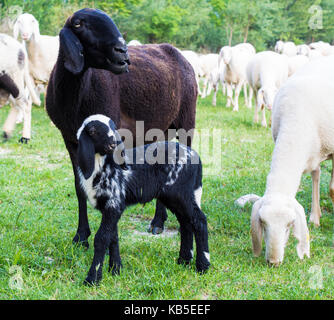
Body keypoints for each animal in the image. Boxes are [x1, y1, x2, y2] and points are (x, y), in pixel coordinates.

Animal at [77, 115, 210, 284]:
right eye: (93, 130)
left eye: (113, 127)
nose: (114, 143)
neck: (101, 166)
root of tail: (196, 157)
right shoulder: (111, 206)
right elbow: (113, 237)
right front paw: (116, 270)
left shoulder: (114, 203)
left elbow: (101, 238)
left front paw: (92, 278)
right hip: (173, 196)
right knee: (186, 223)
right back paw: (184, 261)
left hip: (182, 192)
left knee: (199, 221)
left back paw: (203, 266)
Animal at [249, 55, 334, 264]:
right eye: (263, 224)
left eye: (290, 225)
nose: (273, 262)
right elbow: (316, 176)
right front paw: (315, 217)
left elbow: (331, 188)